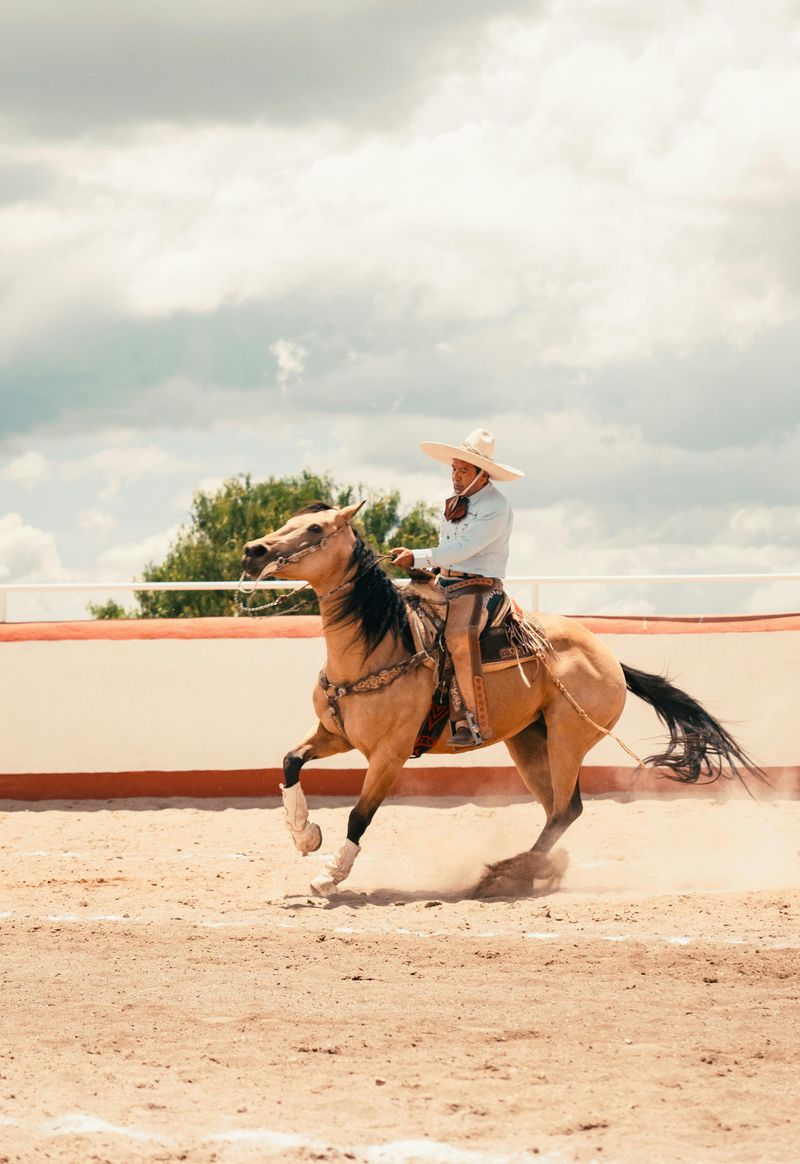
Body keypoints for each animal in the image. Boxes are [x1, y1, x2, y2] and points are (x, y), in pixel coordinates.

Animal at [241, 501, 764, 898]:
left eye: (315, 528)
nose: (253, 550)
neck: (379, 646)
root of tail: (610, 659)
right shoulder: (336, 734)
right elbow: (290, 761)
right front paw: (305, 834)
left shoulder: (389, 754)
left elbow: (358, 814)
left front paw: (328, 876)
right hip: (529, 742)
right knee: (557, 811)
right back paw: (527, 872)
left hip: (568, 740)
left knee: (565, 810)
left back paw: (506, 874)